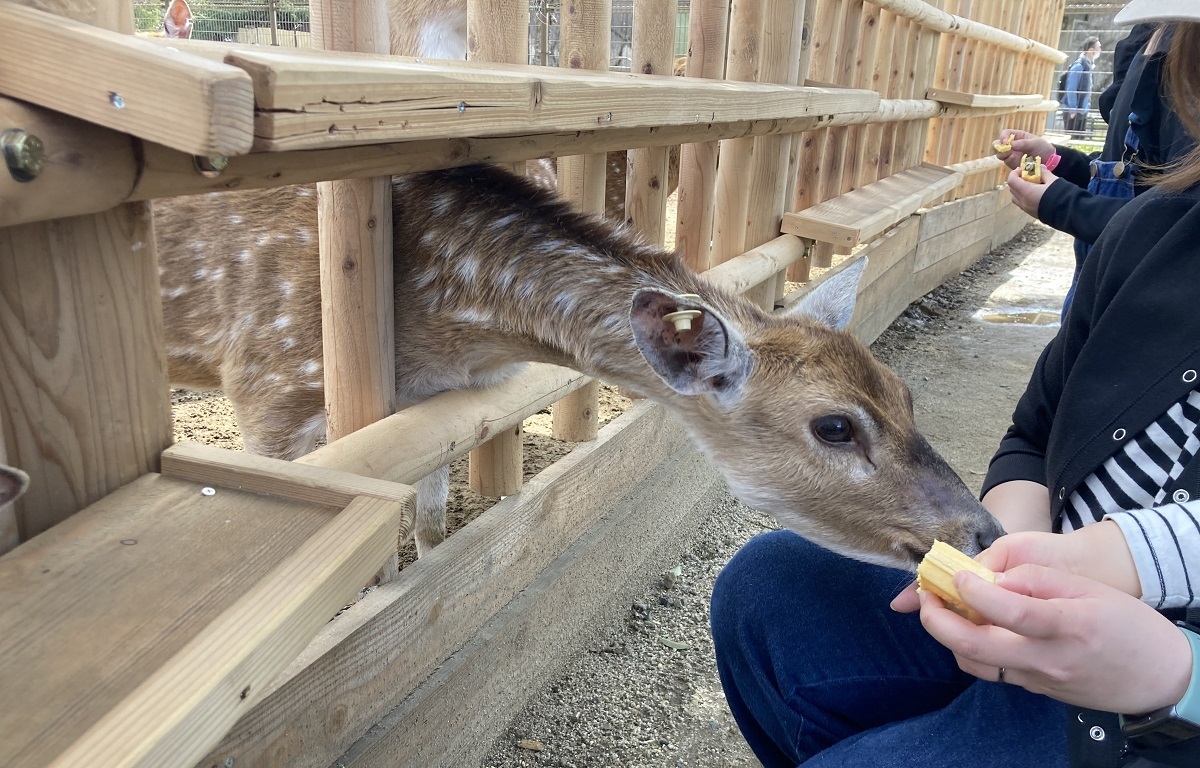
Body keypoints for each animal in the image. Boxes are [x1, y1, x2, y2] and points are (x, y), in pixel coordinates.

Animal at [157, 163, 1003, 571]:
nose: (983, 529)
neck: (444, 324)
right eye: (834, 426)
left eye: (904, 392)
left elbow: (429, 523)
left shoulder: (429, 404)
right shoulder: (271, 386)